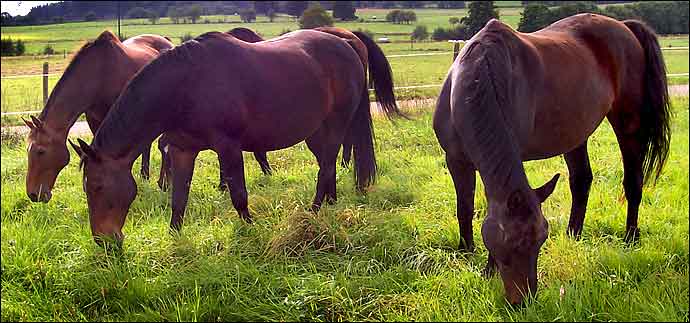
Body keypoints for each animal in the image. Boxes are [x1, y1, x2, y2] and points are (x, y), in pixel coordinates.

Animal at [68, 29, 404, 246]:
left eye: (97, 187)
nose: (104, 241)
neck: (185, 87)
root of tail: (347, 43)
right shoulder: (181, 150)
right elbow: (179, 198)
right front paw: (175, 237)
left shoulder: (228, 147)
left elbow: (238, 194)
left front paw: (252, 229)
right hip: (316, 131)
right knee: (328, 163)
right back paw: (331, 205)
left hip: (336, 125)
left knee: (327, 166)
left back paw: (314, 210)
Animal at [432, 13, 668, 306]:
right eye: (511, 244)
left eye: (541, 240)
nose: (524, 302)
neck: (477, 79)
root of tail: (625, 27)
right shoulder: (456, 160)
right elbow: (464, 209)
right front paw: (467, 254)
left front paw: (487, 270)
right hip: (576, 133)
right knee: (581, 181)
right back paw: (573, 236)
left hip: (628, 125)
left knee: (633, 182)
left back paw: (630, 239)